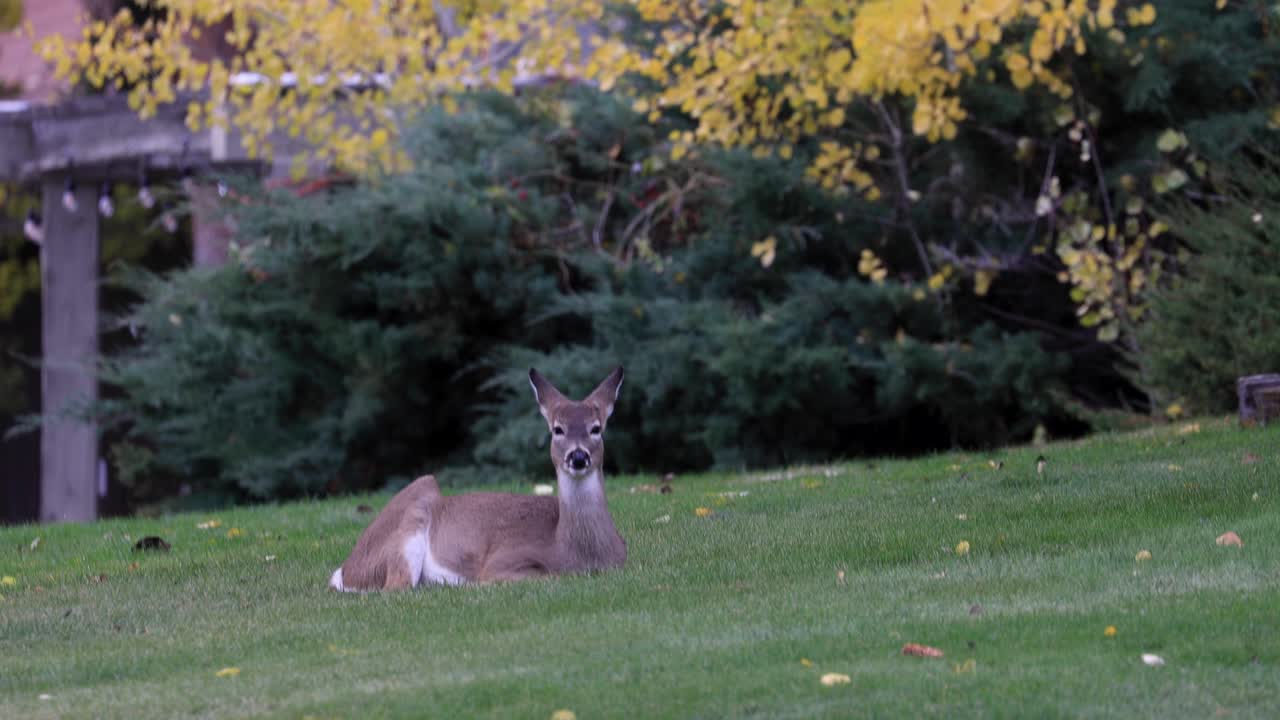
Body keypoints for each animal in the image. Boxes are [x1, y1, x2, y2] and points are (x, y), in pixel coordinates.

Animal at [329, 367, 627, 591]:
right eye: (557, 429)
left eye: (596, 428)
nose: (578, 456)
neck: (575, 552)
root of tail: (347, 570)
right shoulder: (500, 561)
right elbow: (541, 576)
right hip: (416, 502)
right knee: (396, 587)